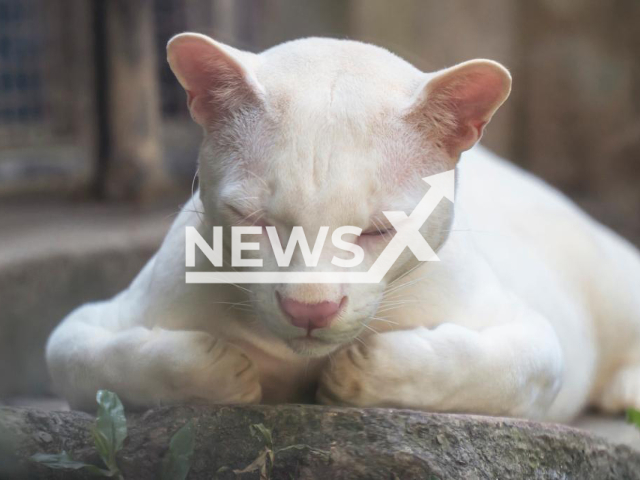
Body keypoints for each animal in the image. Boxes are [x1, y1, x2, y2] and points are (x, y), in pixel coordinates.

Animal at [47, 34, 640, 424]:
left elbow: (489, 368)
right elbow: (96, 362)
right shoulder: (90, 322)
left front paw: (360, 371)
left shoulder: (530, 332)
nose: (310, 310)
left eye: (379, 231)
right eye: (254, 222)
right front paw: (219, 370)